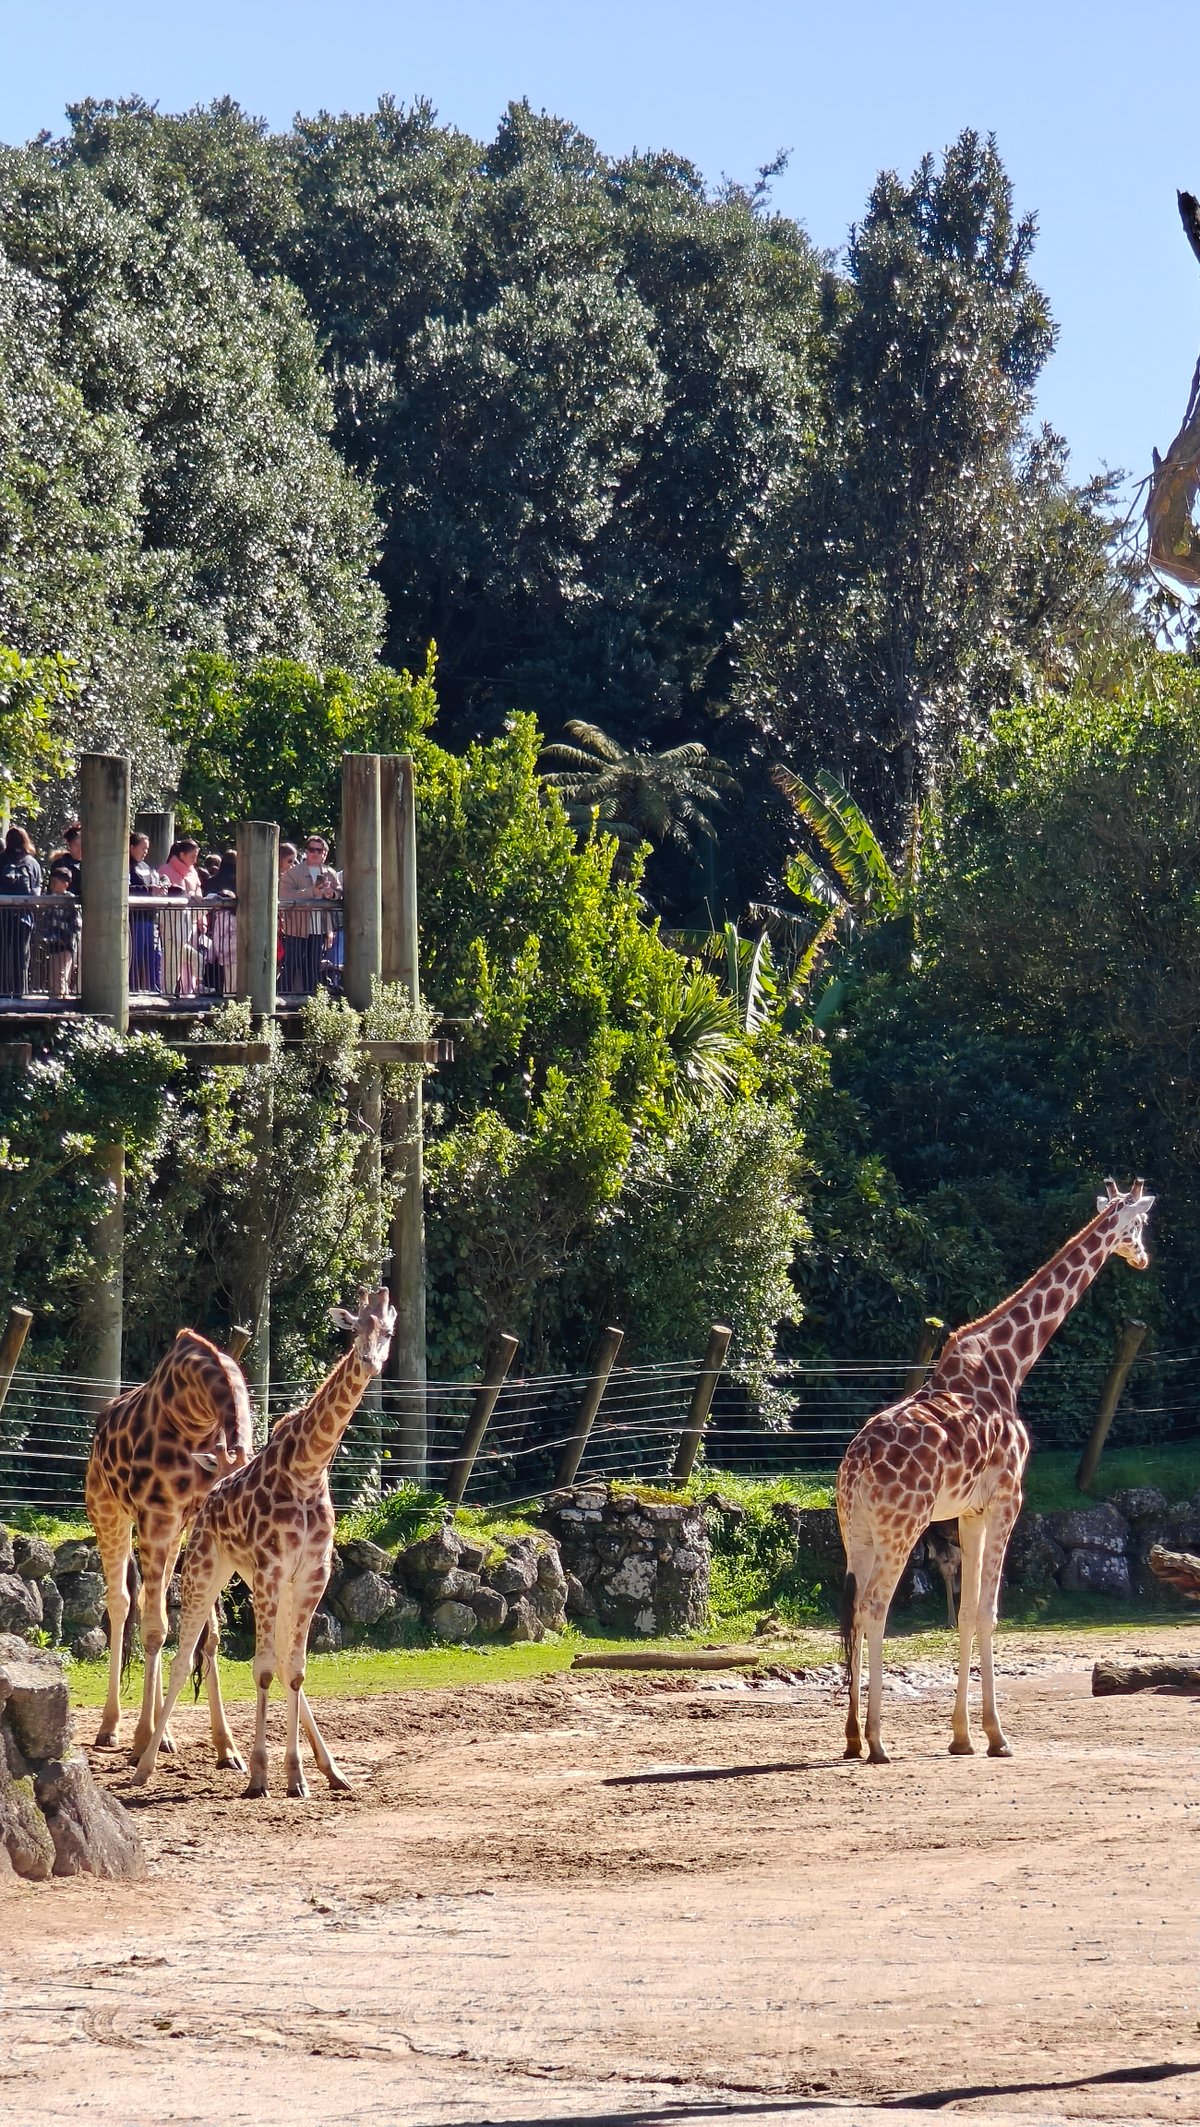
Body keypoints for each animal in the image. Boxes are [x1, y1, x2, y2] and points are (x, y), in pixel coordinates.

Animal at [86, 1330, 255, 1761]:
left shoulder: (189, 1521)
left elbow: (206, 1634)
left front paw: (227, 1746)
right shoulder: (155, 1514)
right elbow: (155, 1630)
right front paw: (143, 1738)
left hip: (170, 1531)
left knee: (152, 1599)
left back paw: (166, 1737)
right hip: (108, 1512)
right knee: (122, 1604)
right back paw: (111, 1728)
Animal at [131, 1286, 395, 1801]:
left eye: (388, 1331)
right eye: (355, 1327)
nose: (370, 1360)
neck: (309, 1466)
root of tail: (210, 1494)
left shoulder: (312, 1574)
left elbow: (295, 1670)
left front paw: (299, 1775)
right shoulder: (272, 1568)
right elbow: (264, 1669)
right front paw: (258, 1775)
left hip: (258, 1580)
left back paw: (328, 1770)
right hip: (205, 1569)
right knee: (181, 1658)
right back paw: (145, 1764)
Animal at [837, 1178, 1155, 1765]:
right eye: (1140, 1225)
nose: (1143, 1257)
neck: (1011, 1364)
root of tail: (855, 1467)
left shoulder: (970, 1510)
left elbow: (965, 1613)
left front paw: (961, 1736)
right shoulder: (1009, 1499)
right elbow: (988, 1611)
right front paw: (996, 1736)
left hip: (857, 1530)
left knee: (851, 1612)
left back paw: (850, 1738)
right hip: (900, 1527)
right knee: (875, 1609)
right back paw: (878, 1741)